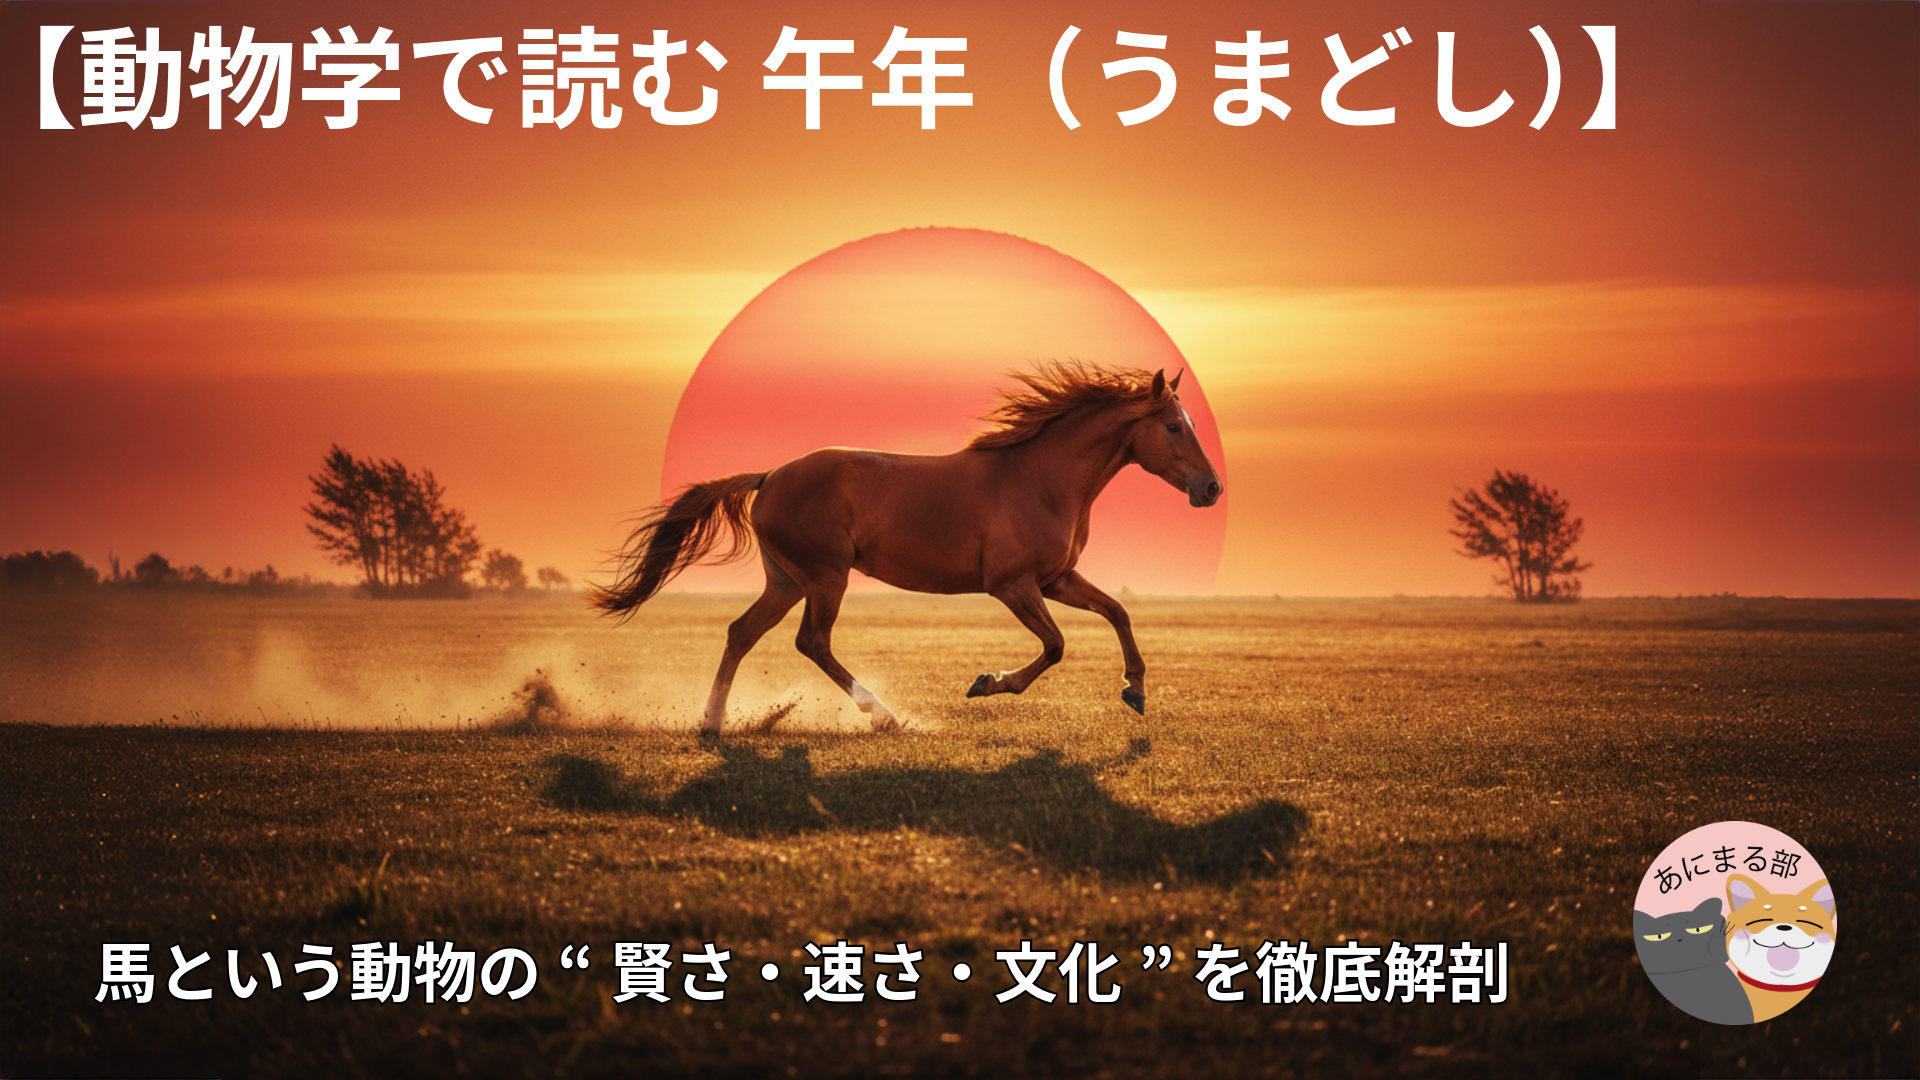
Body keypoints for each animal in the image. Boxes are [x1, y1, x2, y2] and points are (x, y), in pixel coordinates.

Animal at [591, 362, 1224, 733]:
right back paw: (884, 717)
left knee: (742, 633)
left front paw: (1135, 690)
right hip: (826, 577)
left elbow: (1117, 612)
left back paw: (713, 722)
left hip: (788, 580)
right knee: (811, 642)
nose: (1212, 488)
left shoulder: (1056, 579)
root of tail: (769, 476)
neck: (1041, 478)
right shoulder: (1012, 585)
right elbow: (1056, 645)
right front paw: (988, 683)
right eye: (1173, 426)